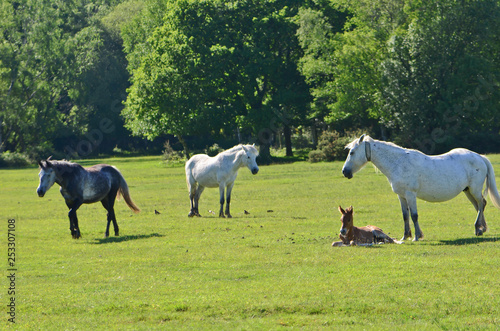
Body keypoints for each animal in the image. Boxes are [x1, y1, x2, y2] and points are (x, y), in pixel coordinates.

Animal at [342, 134, 500, 241]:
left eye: (352, 152)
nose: (345, 172)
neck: (398, 162)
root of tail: (480, 157)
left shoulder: (410, 195)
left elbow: (414, 215)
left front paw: (417, 236)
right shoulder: (401, 196)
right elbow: (405, 215)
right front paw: (405, 236)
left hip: (474, 189)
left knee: (481, 204)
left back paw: (478, 228)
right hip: (467, 191)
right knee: (479, 206)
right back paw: (481, 228)